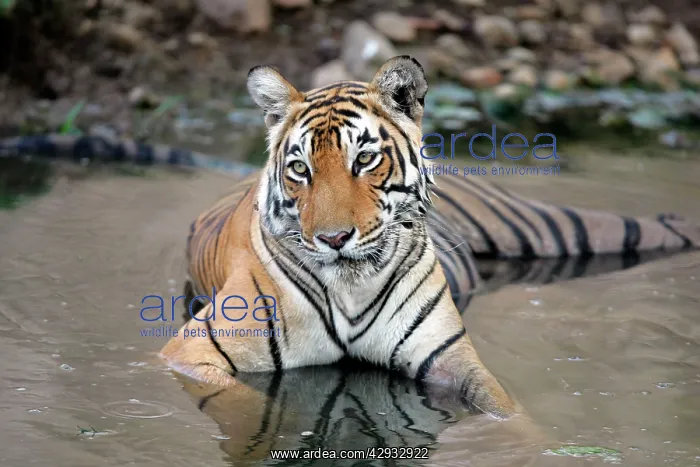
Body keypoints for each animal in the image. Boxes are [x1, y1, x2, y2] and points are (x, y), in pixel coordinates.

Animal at [158, 55, 700, 420]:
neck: (351, 289)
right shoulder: (191, 354)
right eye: (299, 170)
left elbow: (509, 413)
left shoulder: (450, 359)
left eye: (364, 159)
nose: (333, 239)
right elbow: (251, 401)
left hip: (550, 228)